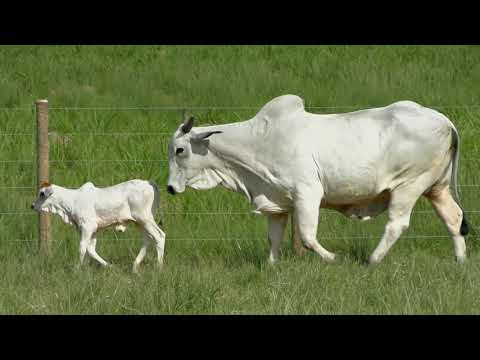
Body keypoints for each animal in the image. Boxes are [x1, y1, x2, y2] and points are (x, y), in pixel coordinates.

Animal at [31, 180, 166, 272]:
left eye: (42, 194)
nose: (32, 206)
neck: (72, 201)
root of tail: (149, 183)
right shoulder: (93, 230)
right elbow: (90, 249)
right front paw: (109, 266)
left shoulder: (87, 227)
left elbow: (82, 247)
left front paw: (77, 269)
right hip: (140, 222)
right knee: (147, 239)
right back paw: (135, 266)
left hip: (145, 219)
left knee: (159, 236)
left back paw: (159, 267)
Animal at [166, 95, 468, 264]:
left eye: (180, 149)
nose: (169, 188)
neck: (258, 141)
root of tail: (443, 120)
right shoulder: (277, 204)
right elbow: (274, 239)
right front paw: (272, 266)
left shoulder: (308, 193)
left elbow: (308, 237)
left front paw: (334, 258)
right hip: (436, 188)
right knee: (453, 218)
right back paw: (460, 260)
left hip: (408, 185)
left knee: (397, 224)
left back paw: (372, 260)